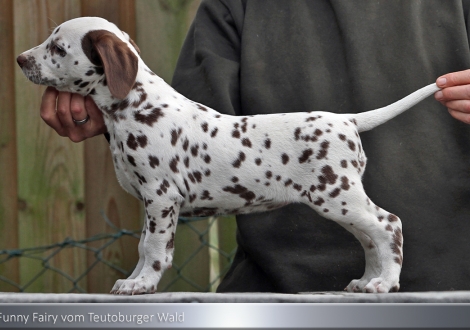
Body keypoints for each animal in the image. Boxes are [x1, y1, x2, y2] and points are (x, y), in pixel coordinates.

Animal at [15, 16, 440, 294]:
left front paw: (143, 283)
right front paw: (135, 279)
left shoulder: (161, 197)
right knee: (370, 238)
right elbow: (142, 246)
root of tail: (347, 120)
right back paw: (368, 280)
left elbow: (153, 249)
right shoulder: (151, 203)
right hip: (340, 204)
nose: (20, 59)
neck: (136, 106)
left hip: (337, 196)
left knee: (388, 225)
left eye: (57, 48)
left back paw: (385, 283)